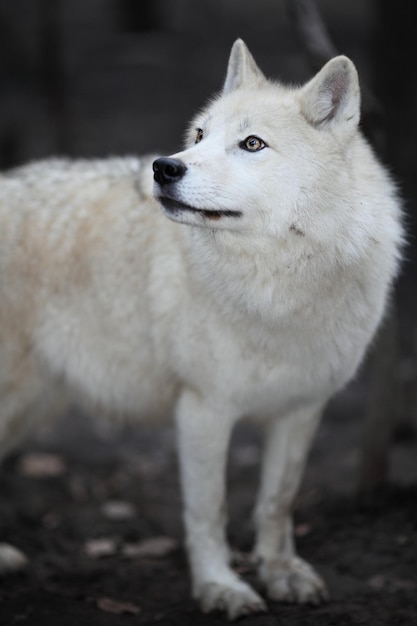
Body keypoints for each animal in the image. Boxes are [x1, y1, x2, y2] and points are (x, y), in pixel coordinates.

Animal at [0, 41, 404, 616]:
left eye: (252, 143)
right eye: (199, 136)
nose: (164, 168)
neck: (276, 293)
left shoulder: (301, 408)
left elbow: (277, 502)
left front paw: (281, 574)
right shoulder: (203, 409)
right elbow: (209, 510)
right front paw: (221, 586)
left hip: (31, 407)